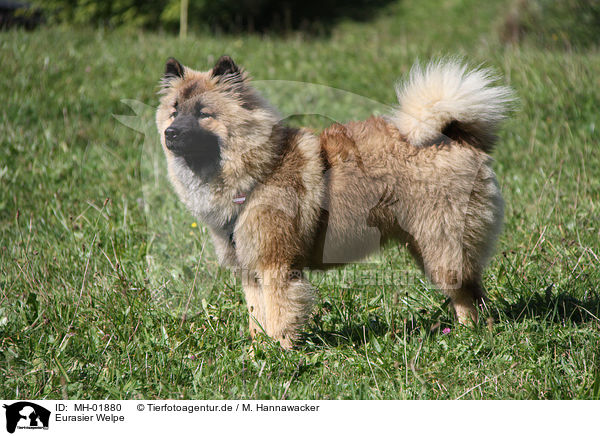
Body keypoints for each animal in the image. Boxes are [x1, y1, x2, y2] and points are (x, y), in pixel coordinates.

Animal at [157, 55, 512, 348]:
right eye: (174, 111)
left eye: (204, 114)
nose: (170, 133)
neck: (259, 169)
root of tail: (454, 135)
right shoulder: (250, 267)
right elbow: (257, 314)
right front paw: (259, 350)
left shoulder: (277, 265)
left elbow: (279, 314)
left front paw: (279, 352)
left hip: (442, 244)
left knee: (467, 290)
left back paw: (473, 332)